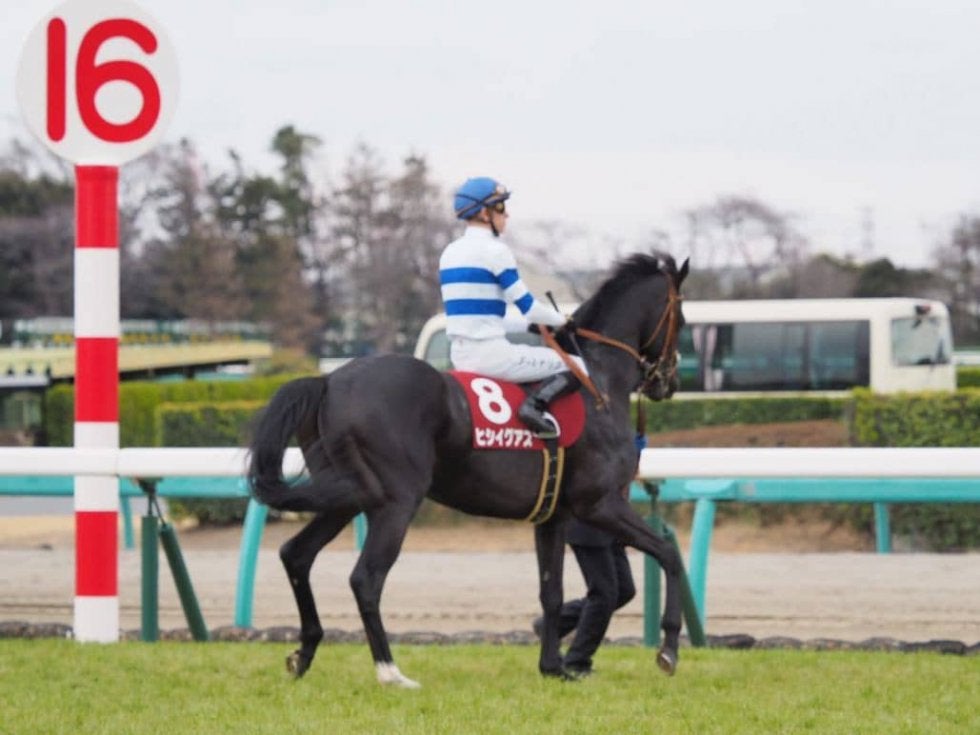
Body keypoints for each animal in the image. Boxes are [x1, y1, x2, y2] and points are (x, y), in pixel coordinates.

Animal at [247, 251, 689, 687]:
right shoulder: (599, 504)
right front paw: (668, 648)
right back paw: (390, 671)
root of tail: (329, 381)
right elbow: (669, 554)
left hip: (347, 497)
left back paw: (304, 653)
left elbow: (551, 591)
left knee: (296, 554)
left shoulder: (554, 516)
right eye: (681, 319)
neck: (596, 383)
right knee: (366, 578)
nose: (667, 381)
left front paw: (553, 666)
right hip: (395, 502)